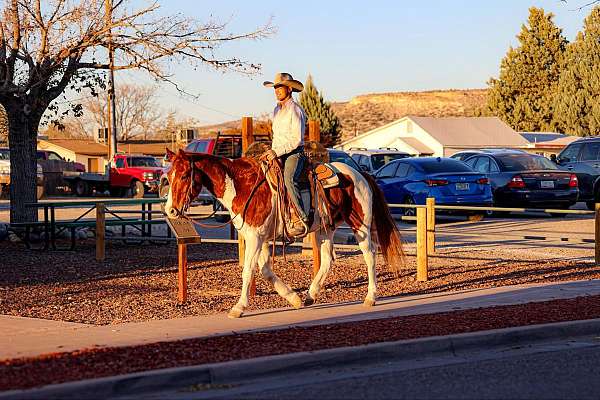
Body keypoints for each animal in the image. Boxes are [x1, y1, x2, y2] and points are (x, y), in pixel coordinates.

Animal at [164, 148, 404, 318]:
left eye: (184, 175)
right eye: (169, 176)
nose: (170, 210)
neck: (242, 186)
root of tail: (360, 173)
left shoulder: (255, 237)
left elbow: (248, 270)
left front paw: (239, 307)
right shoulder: (259, 238)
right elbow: (265, 270)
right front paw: (293, 298)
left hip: (360, 223)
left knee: (369, 254)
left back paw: (370, 297)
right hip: (326, 228)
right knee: (328, 259)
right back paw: (310, 295)